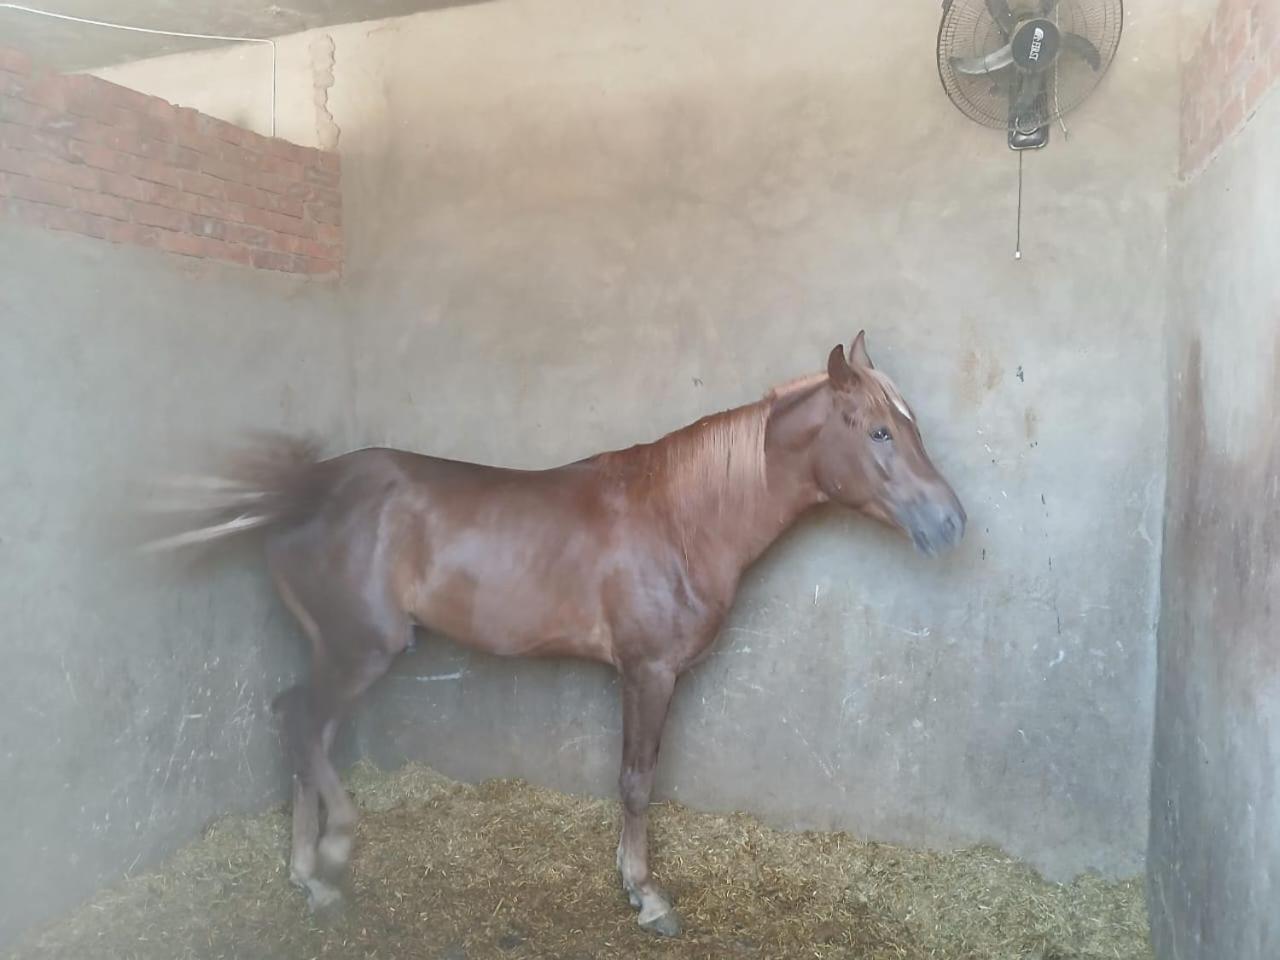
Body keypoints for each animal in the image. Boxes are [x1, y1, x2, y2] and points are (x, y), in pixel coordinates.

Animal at [145, 332, 965, 937]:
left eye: (913, 425)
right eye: (881, 430)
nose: (952, 522)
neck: (682, 517)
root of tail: (301, 491)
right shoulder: (646, 672)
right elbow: (636, 780)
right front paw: (646, 896)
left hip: (334, 652)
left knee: (302, 729)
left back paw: (307, 874)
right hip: (357, 651)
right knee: (300, 723)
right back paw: (335, 851)